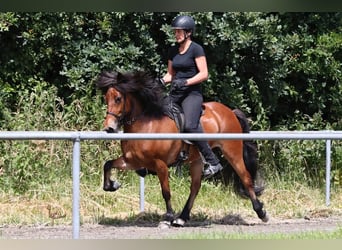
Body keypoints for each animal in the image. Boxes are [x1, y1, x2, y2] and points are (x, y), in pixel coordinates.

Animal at [95, 70, 268, 227]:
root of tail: (229, 111)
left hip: (232, 152)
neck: (146, 125)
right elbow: (107, 164)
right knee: (195, 187)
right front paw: (112, 185)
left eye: (118, 99)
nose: (109, 128)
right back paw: (182, 218)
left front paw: (168, 217)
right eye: (106, 98)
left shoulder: (160, 164)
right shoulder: (132, 161)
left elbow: (166, 191)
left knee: (246, 178)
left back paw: (261, 212)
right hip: (197, 159)